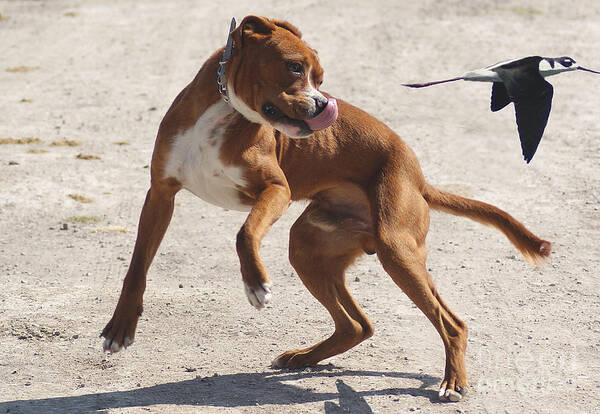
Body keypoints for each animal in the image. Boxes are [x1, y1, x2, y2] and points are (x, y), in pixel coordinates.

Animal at [102, 15, 548, 402]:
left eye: (320, 78)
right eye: (294, 67)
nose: (321, 105)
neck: (222, 111)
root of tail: (419, 178)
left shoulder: (275, 191)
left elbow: (245, 233)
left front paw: (255, 283)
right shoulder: (160, 195)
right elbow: (137, 266)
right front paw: (120, 327)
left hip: (396, 251)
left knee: (451, 323)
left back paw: (453, 381)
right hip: (310, 248)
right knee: (357, 325)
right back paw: (304, 358)